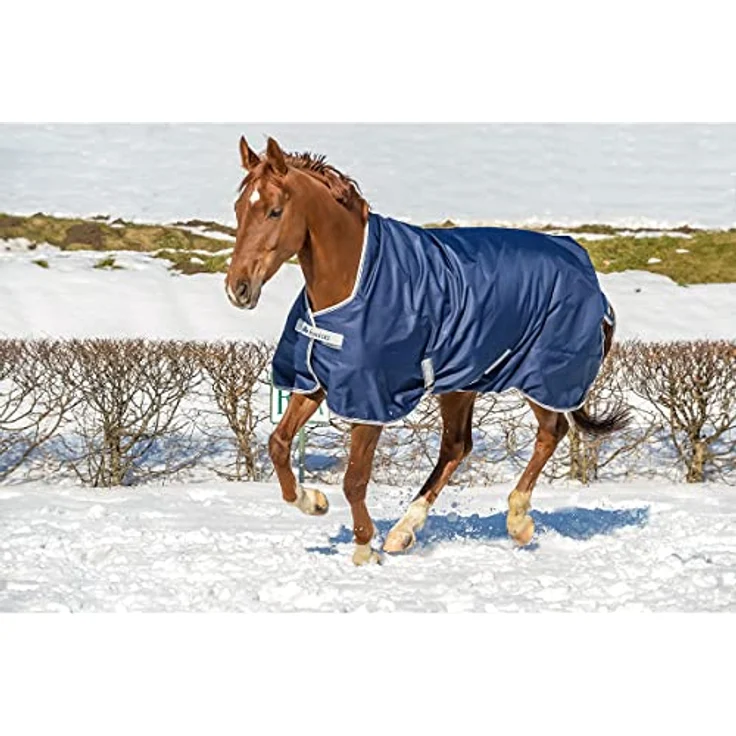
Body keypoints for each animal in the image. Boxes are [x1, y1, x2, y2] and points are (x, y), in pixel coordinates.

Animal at [225, 135, 629, 565]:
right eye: (238, 209)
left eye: (275, 210)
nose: (238, 288)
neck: (355, 277)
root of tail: (589, 276)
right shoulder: (315, 381)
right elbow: (279, 445)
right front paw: (313, 501)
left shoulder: (371, 399)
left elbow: (354, 479)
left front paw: (364, 548)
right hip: (464, 381)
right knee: (457, 447)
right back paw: (404, 531)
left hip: (541, 377)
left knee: (550, 432)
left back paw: (517, 521)